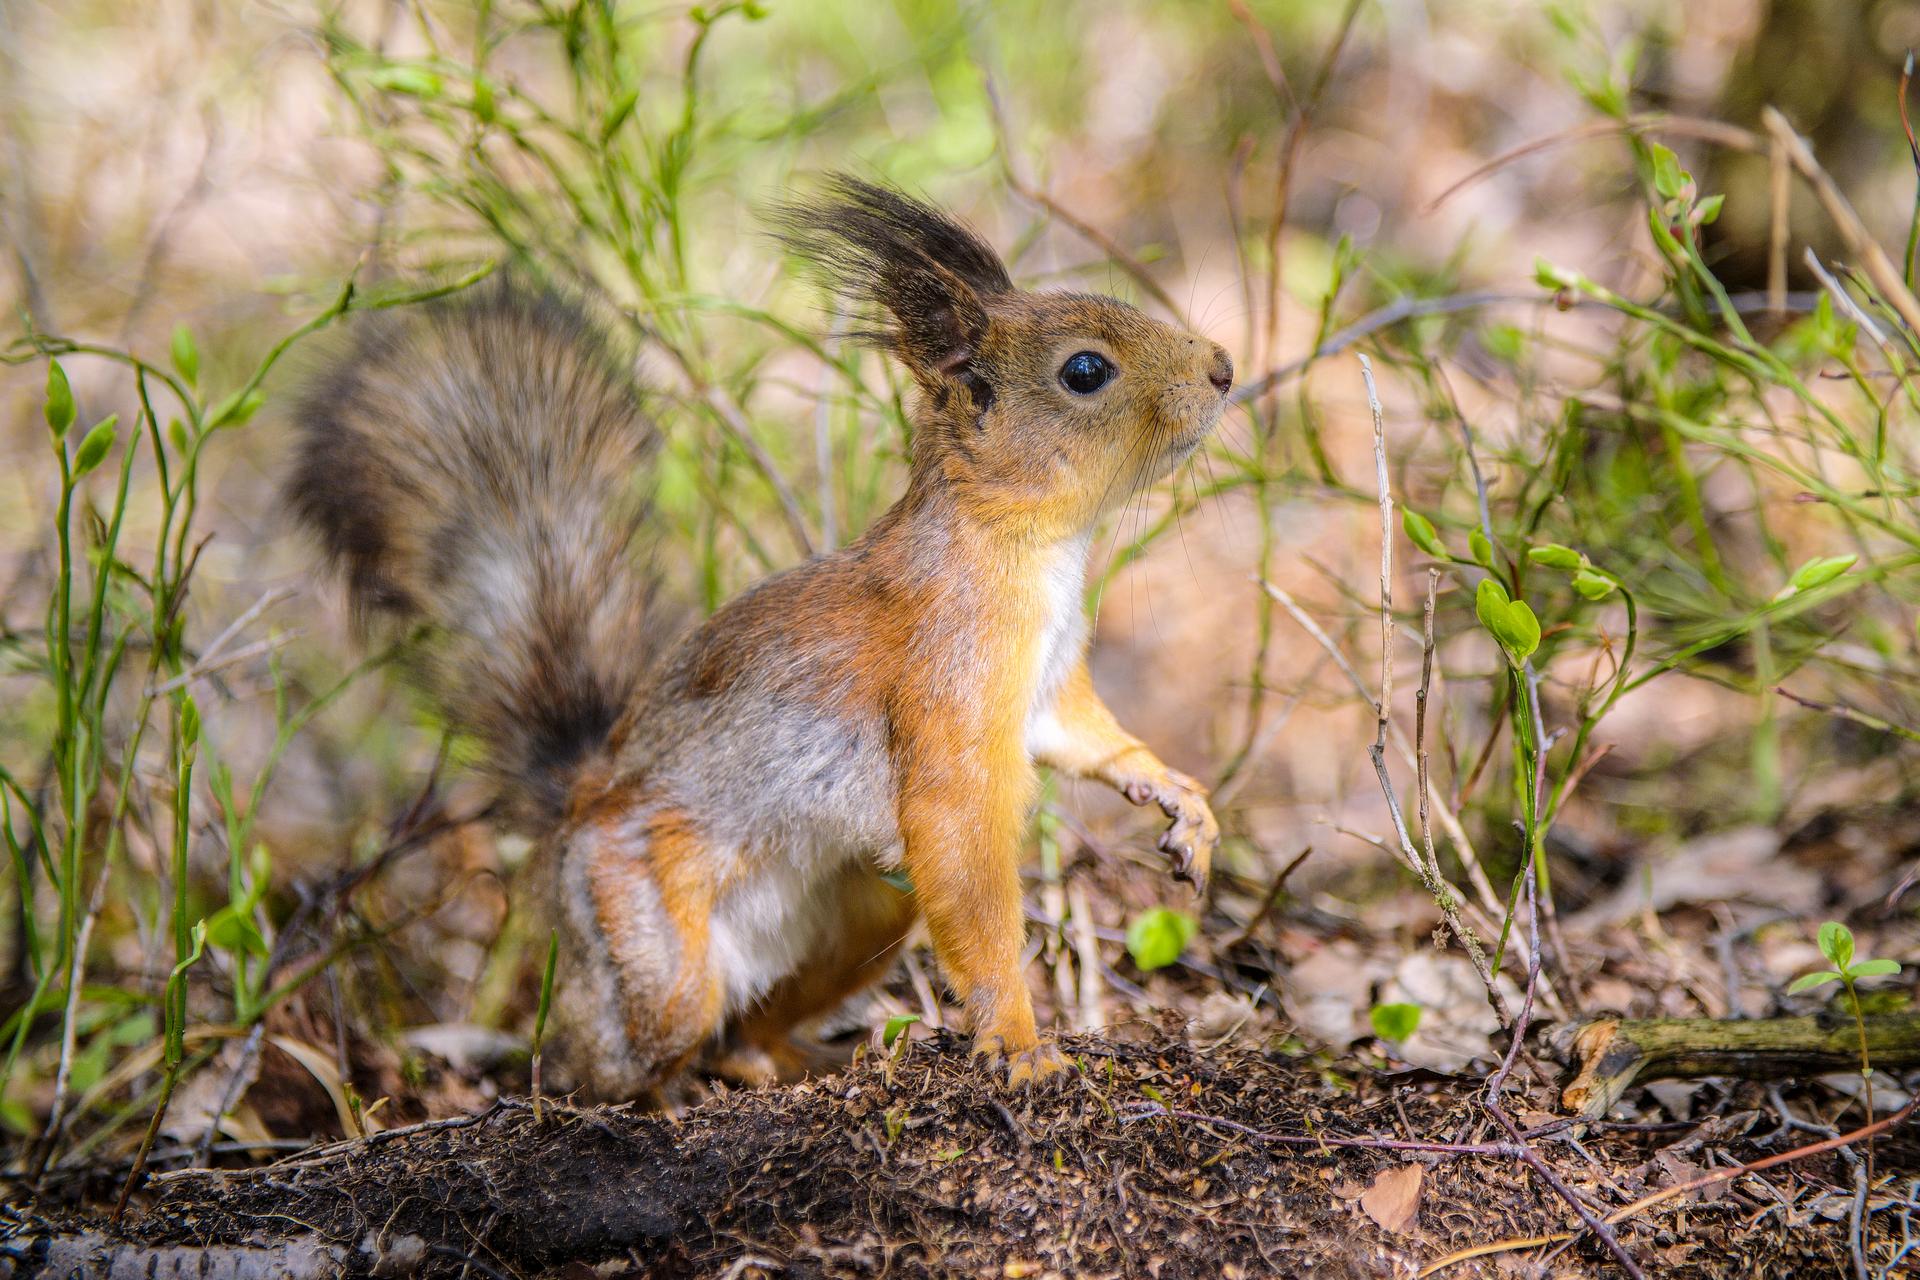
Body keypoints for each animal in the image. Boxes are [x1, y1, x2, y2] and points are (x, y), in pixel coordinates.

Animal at [293, 175, 1236, 1097]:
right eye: (1086, 370)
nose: (1223, 369)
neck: (1029, 545)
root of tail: (578, 802)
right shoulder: (949, 680)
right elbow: (962, 846)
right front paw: (1018, 1038)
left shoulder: (1047, 683)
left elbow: (1088, 737)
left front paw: (1178, 797)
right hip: (643, 930)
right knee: (619, 1047)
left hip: (859, 914)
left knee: (741, 1032)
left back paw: (796, 1059)